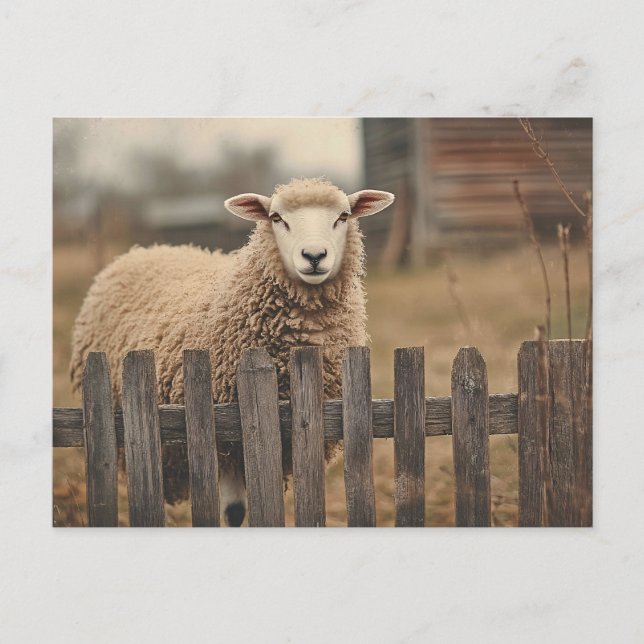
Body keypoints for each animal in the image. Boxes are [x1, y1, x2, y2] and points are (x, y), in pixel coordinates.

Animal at [70, 177, 394, 526]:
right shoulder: (225, 435)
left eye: (343, 216)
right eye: (276, 217)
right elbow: (235, 510)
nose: (314, 255)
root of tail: (143, 251)